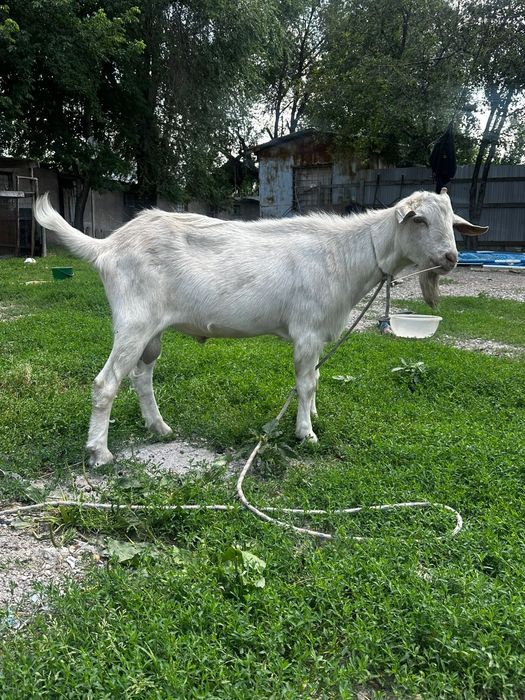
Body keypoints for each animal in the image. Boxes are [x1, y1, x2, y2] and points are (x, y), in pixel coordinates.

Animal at [34, 189, 487, 466]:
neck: (345, 253)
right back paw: (99, 452)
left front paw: (313, 416)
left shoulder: (318, 335)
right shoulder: (306, 330)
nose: (451, 258)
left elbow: (315, 379)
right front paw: (306, 433)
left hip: (152, 332)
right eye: (420, 220)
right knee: (106, 383)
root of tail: (107, 246)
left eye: (452, 221)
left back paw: (159, 428)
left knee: (141, 376)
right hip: (133, 322)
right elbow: (305, 382)